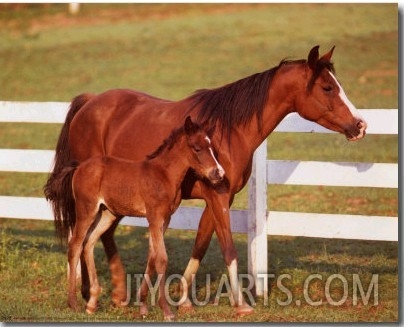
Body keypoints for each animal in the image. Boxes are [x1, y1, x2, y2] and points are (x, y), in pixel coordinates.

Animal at [44, 44, 366, 316]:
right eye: (327, 87)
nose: (360, 125)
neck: (228, 130)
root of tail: (89, 103)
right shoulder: (217, 196)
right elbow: (228, 248)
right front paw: (241, 304)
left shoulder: (221, 197)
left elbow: (200, 243)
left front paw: (183, 299)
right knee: (82, 238)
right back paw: (87, 294)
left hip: (113, 203)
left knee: (100, 236)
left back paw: (116, 295)